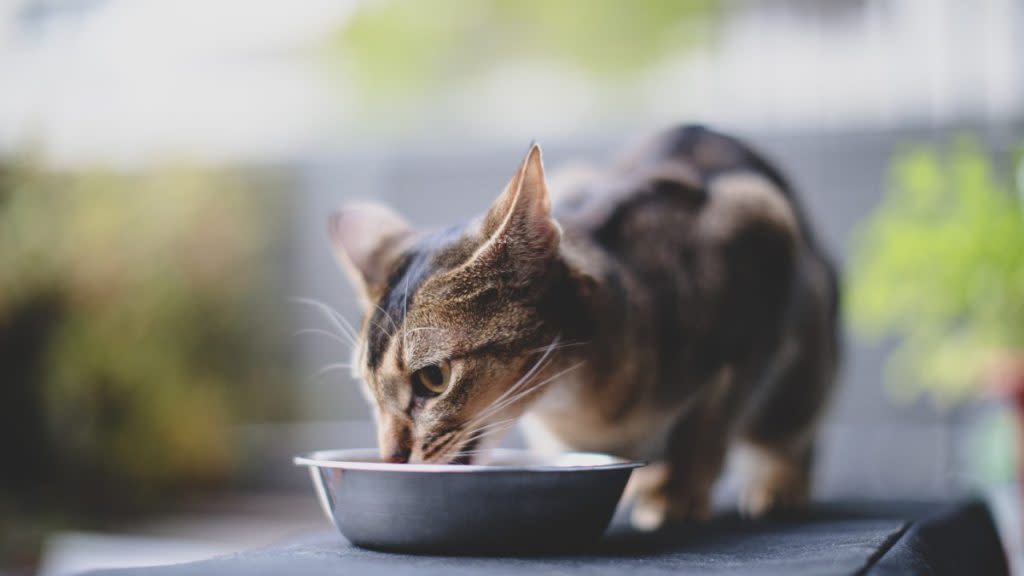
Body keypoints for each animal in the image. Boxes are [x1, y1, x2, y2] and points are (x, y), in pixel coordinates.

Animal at [329, 124, 839, 524]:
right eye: (368, 389)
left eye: (433, 378)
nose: (391, 458)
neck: (578, 402)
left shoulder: (760, 229)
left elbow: (706, 425)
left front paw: (676, 494)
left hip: (804, 350)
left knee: (791, 430)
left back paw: (778, 485)